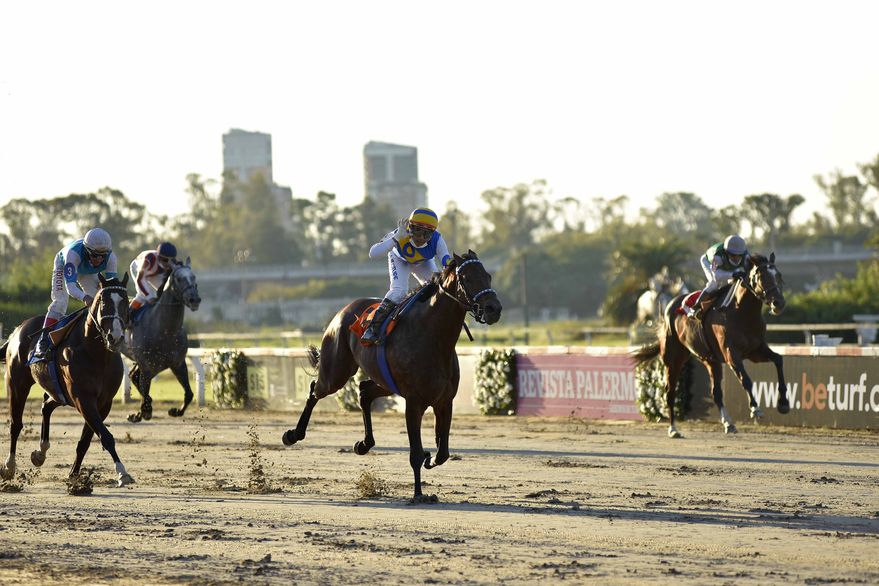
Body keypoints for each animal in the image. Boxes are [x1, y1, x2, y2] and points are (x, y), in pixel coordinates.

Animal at [0, 276, 136, 486]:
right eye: (104, 303)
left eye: (125, 303)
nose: (115, 337)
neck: (97, 354)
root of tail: (18, 330)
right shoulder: (84, 399)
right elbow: (105, 436)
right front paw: (122, 473)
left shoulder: (103, 403)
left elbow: (85, 441)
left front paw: (74, 475)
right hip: (17, 384)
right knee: (15, 424)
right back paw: (9, 466)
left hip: (59, 392)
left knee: (46, 406)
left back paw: (40, 452)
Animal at [122, 256, 201, 420]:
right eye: (179, 278)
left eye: (193, 277)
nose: (194, 299)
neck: (164, 331)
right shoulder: (147, 367)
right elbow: (144, 392)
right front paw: (141, 413)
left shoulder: (178, 364)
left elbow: (189, 394)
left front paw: (175, 411)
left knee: (133, 375)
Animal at [282, 249, 502, 500]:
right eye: (466, 278)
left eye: (488, 276)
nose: (494, 308)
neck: (433, 338)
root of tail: (343, 310)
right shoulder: (414, 402)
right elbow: (415, 453)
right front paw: (418, 494)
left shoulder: (445, 401)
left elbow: (443, 453)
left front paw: (430, 459)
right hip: (336, 372)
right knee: (314, 390)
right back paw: (293, 434)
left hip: (384, 381)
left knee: (364, 391)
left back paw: (364, 444)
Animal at [632, 253, 792, 436]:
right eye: (761, 277)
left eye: (778, 275)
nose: (779, 303)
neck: (743, 313)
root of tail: (670, 305)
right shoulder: (731, 355)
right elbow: (746, 379)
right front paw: (755, 408)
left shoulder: (756, 350)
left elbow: (778, 360)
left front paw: (784, 403)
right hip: (673, 359)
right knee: (669, 392)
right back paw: (673, 429)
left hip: (710, 360)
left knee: (716, 393)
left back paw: (728, 423)